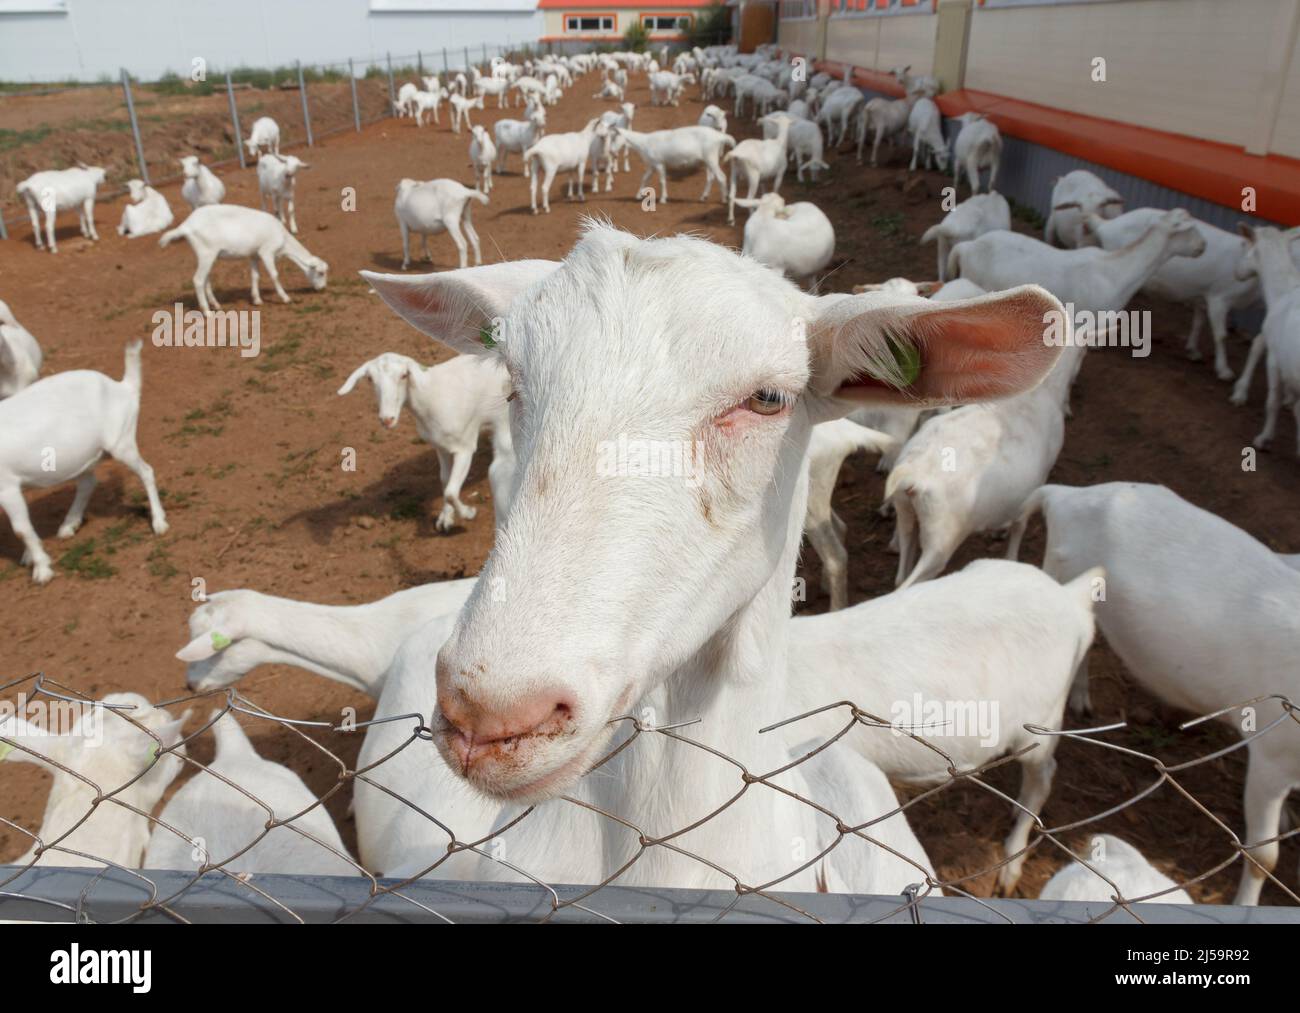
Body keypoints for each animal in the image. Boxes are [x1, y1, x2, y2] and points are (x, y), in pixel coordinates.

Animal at [160, 205, 330, 313]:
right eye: (320, 273)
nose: (322, 289)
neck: (284, 240)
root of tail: (185, 226)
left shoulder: (254, 255)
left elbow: (255, 276)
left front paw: (257, 300)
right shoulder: (266, 252)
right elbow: (274, 275)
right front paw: (286, 298)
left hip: (206, 255)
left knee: (205, 280)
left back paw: (216, 305)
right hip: (206, 252)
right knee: (198, 280)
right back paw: (206, 311)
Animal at [338, 353, 514, 530]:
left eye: (404, 375)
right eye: (370, 379)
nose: (387, 419)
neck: (430, 397)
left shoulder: (465, 446)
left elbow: (450, 492)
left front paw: (468, 513)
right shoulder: (441, 446)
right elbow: (445, 481)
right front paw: (446, 519)